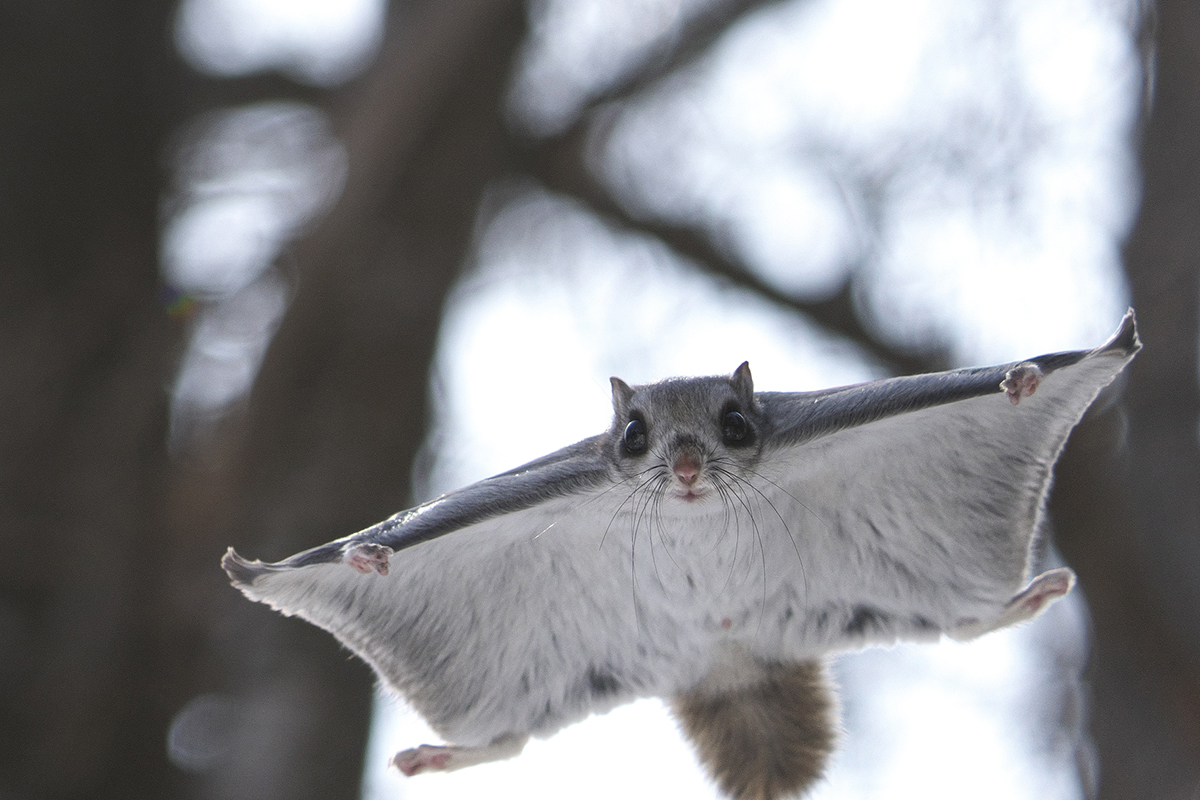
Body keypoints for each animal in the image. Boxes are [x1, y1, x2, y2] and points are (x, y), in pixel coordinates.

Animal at [220, 309, 1137, 796]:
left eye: (735, 423)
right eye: (634, 434)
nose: (690, 468)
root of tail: (726, 663)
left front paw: (1020, 380)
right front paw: (367, 556)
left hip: (906, 595)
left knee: (967, 627)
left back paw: (1032, 595)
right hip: (547, 680)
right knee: (509, 741)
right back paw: (438, 750)